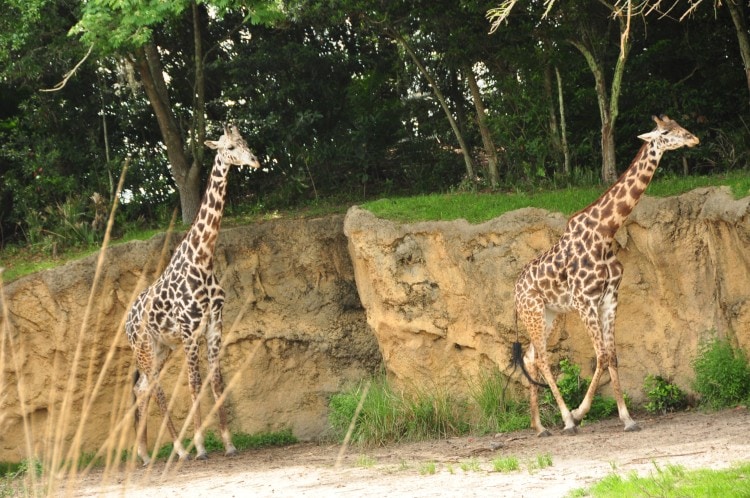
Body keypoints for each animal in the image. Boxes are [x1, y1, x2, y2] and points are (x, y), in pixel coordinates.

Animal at [126, 123, 262, 462]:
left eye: (245, 141)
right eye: (229, 148)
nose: (254, 161)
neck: (203, 258)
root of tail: (125, 323)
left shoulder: (214, 324)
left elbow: (217, 380)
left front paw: (228, 443)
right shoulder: (189, 331)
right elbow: (193, 383)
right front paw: (200, 446)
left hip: (161, 348)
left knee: (141, 387)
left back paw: (144, 454)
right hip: (145, 346)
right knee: (154, 387)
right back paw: (180, 450)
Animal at [516, 116, 704, 436]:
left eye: (680, 124)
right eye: (666, 131)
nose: (693, 138)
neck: (605, 232)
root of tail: (514, 292)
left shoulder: (609, 298)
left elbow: (612, 356)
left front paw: (627, 419)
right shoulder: (585, 301)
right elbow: (602, 356)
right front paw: (579, 413)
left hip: (549, 315)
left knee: (531, 358)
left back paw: (539, 427)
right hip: (535, 312)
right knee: (541, 358)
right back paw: (566, 421)